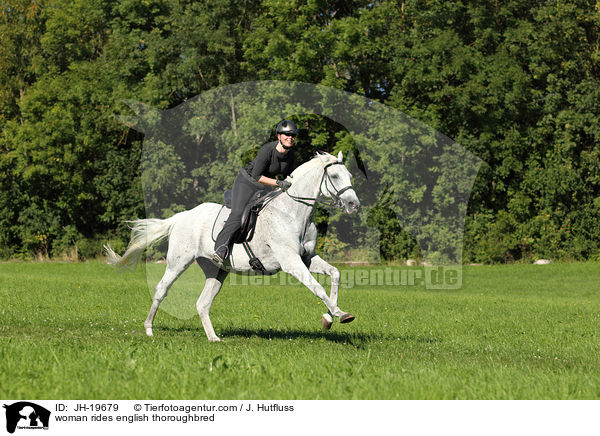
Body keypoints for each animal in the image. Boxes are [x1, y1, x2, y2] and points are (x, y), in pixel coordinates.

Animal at [104, 152, 360, 342]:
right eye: (334, 175)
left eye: (348, 175)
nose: (353, 204)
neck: (293, 212)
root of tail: (182, 216)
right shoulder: (291, 262)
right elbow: (317, 288)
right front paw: (339, 314)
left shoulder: (307, 258)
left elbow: (335, 274)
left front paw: (331, 317)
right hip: (178, 262)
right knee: (161, 289)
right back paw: (149, 329)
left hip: (216, 271)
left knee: (202, 304)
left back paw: (214, 338)